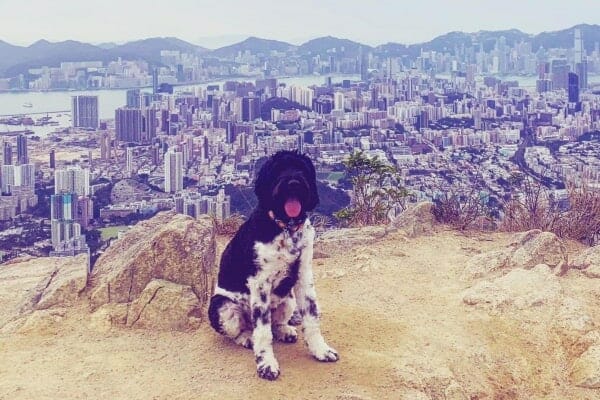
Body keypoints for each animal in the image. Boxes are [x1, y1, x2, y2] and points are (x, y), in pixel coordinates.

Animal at [207, 151, 338, 382]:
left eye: (301, 169)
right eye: (278, 170)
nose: (294, 183)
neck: (285, 227)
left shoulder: (304, 276)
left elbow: (312, 316)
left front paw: (320, 350)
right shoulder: (260, 284)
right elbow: (263, 332)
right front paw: (266, 364)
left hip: (288, 300)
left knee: (276, 324)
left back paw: (285, 331)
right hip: (222, 306)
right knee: (241, 331)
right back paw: (247, 338)